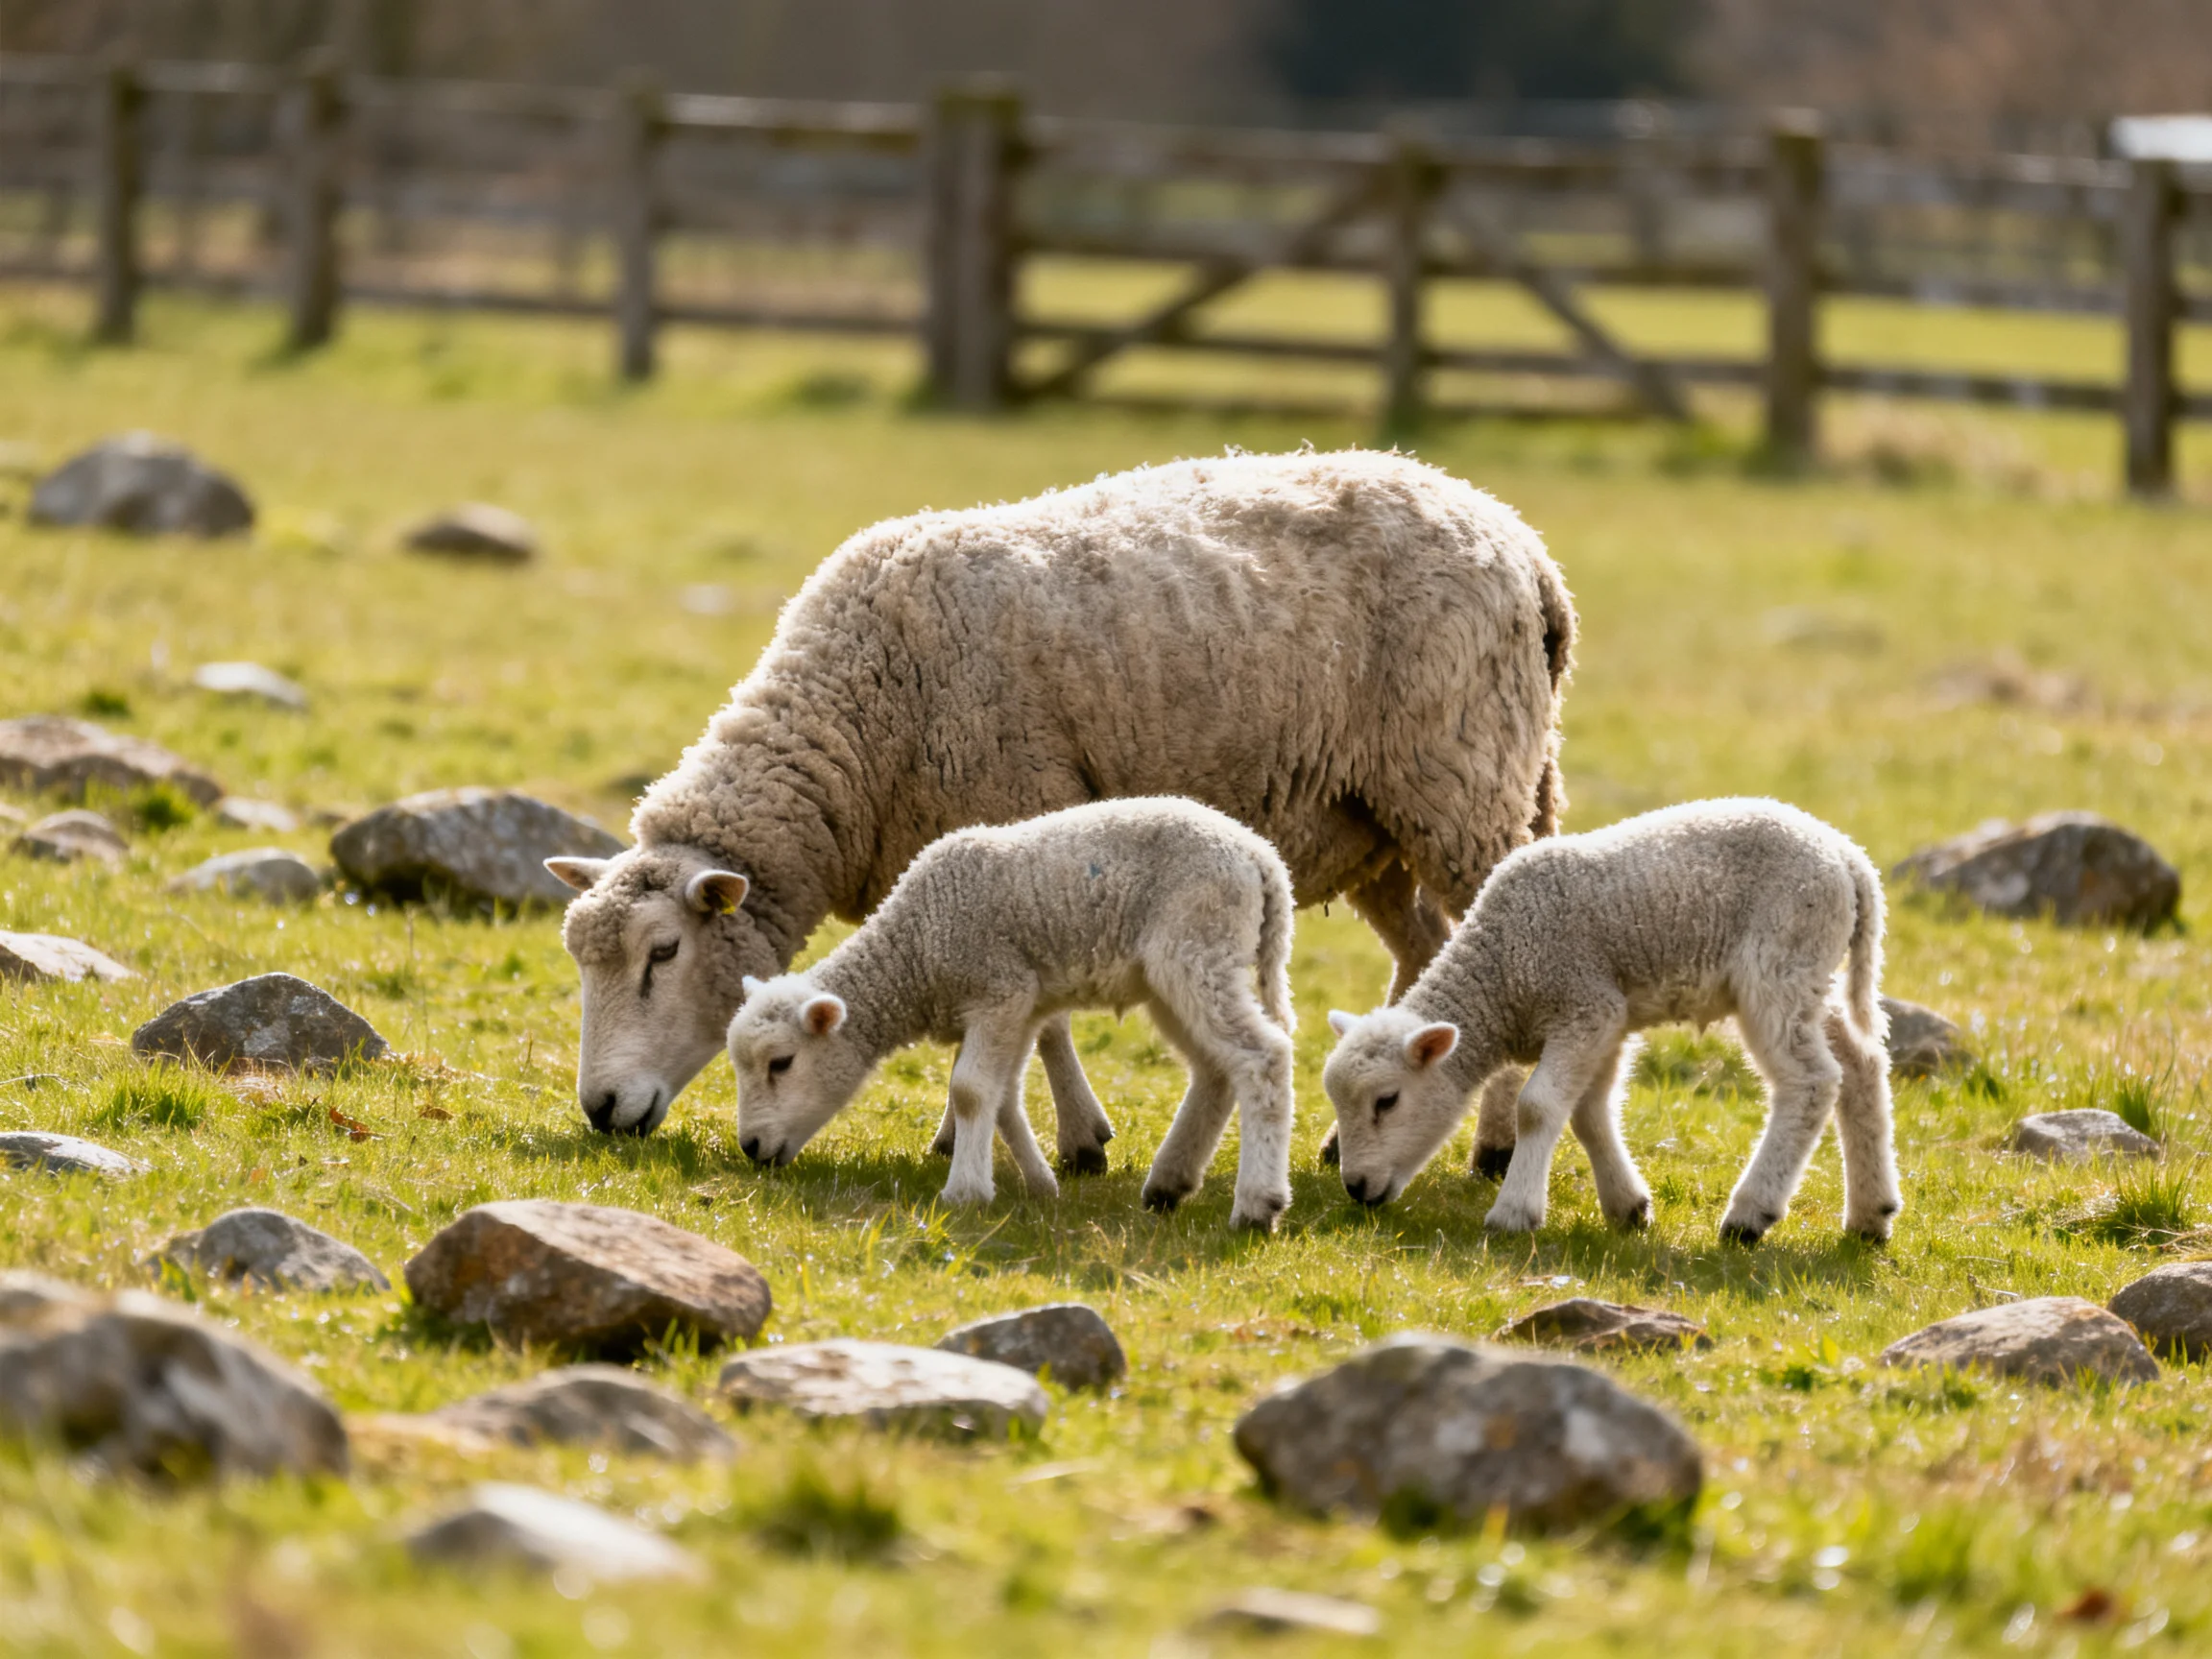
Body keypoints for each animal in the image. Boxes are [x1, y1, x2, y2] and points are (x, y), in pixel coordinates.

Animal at [547, 448, 1574, 1159]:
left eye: (663, 953)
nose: (600, 1109)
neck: (863, 714)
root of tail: (1519, 539)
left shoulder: (1025, 826)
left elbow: (1041, 1026)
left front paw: (1072, 1140)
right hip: (1372, 819)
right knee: (1426, 948)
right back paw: (1353, 1136)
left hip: (1463, 784)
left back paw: (1488, 1146)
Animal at [723, 798, 1299, 1229]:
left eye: (781, 1063)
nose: (750, 1147)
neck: (916, 949)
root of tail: (1262, 859)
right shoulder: (1022, 1003)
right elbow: (1001, 1097)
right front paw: (1040, 1184)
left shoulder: (998, 990)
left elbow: (970, 1090)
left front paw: (965, 1192)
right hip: (1173, 974)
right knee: (1215, 1071)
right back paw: (1169, 1184)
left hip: (1197, 946)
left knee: (1262, 1057)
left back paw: (1256, 1204)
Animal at [1321, 798, 1900, 1245]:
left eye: (1387, 1101)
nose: (1355, 1187)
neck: (1502, 972)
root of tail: (1849, 858)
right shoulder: (1606, 1019)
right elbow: (1588, 1113)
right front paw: (1629, 1206)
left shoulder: (1583, 1004)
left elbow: (1536, 1108)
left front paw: (1514, 1212)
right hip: (1809, 973)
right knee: (1861, 1064)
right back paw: (1871, 1215)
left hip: (1779, 963)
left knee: (1811, 1081)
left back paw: (1750, 1215)